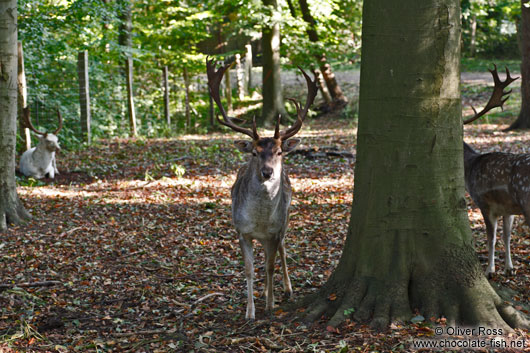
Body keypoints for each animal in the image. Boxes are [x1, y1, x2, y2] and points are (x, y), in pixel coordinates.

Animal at [204, 58, 316, 320]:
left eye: (279, 151)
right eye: (255, 152)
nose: (267, 172)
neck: (260, 221)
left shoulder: (273, 232)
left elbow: (270, 266)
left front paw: (270, 304)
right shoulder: (241, 231)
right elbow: (250, 270)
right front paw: (250, 311)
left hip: (285, 218)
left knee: (282, 250)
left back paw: (287, 289)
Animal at [460, 64, 520, 276]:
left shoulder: (485, 203)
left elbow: (491, 238)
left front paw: (490, 270)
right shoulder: (508, 210)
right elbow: (506, 236)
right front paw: (509, 268)